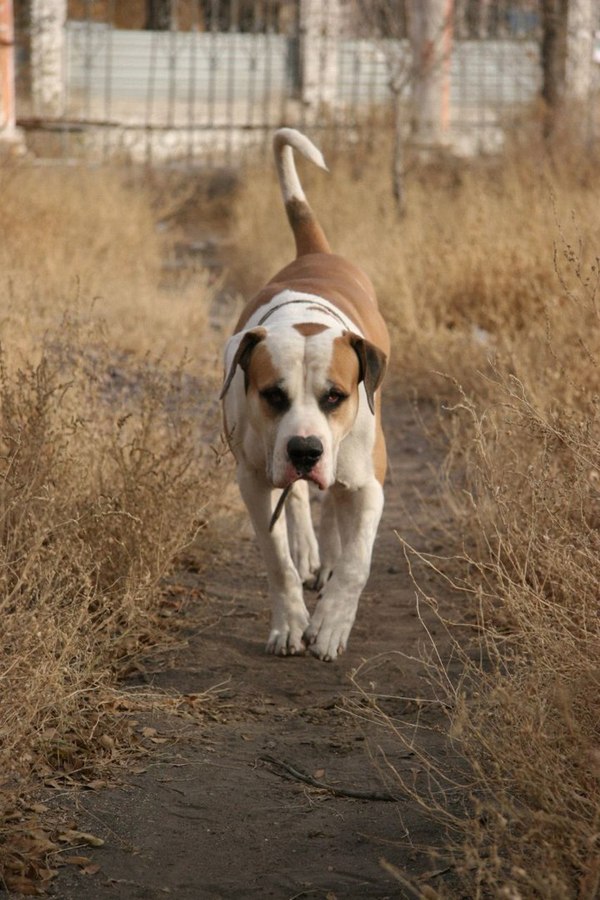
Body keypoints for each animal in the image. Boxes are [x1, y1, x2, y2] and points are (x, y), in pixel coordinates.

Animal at [220, 128, 390, 660]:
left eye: (335, 396)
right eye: (273, 394)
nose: (305, 450)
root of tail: (314, 254)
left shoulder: (370, 483)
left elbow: (357, 560)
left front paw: (332, 623)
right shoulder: (253, 479)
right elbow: (277, 560)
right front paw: (291, 623)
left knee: (334, 499)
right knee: (298, 499)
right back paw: (310, 550)